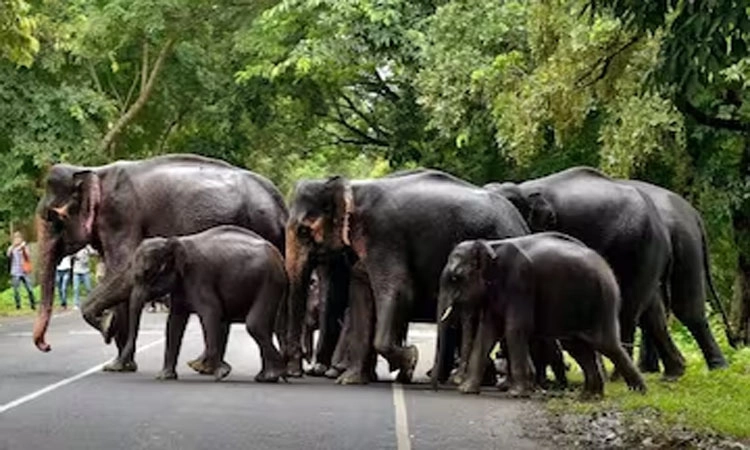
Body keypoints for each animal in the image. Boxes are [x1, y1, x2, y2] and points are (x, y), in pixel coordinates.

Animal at [102, 226, 286, 382]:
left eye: (147, 274)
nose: (111, 367)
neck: (173, 241)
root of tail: (279, 256)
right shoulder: (181, 285)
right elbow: (174, 323)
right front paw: (164, 377)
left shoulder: (199, 275)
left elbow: (211, 312)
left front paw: (222, 373)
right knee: (262, 328)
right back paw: (267, 377)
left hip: (269, 282)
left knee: (255, 325)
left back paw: (278, 372)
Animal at [284, 169, 529, 385]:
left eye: (303, 231)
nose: (296, 373)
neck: (351, 187)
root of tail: (522, 224)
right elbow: (361, 295)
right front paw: (351, 380)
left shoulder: (384, 235)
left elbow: (398, 290)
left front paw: (410, 361)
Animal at [438, 233, 647, 398]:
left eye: (455, 278)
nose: (455, 381)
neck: (489, 244)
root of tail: (606, 266)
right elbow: (487, 331)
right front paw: (467, 391)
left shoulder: (520, 282)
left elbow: (515, 329)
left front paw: (516, 394)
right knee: (577, 347)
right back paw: (589, 396)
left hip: (601, 301)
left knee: (606, 345)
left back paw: (638, 393)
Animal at [484, 166, 686, 379]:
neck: (523, 189)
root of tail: (662, 228)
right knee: (652, 310)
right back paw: (674, 371)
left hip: (640, 248)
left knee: (629, 309)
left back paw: (617, 377)